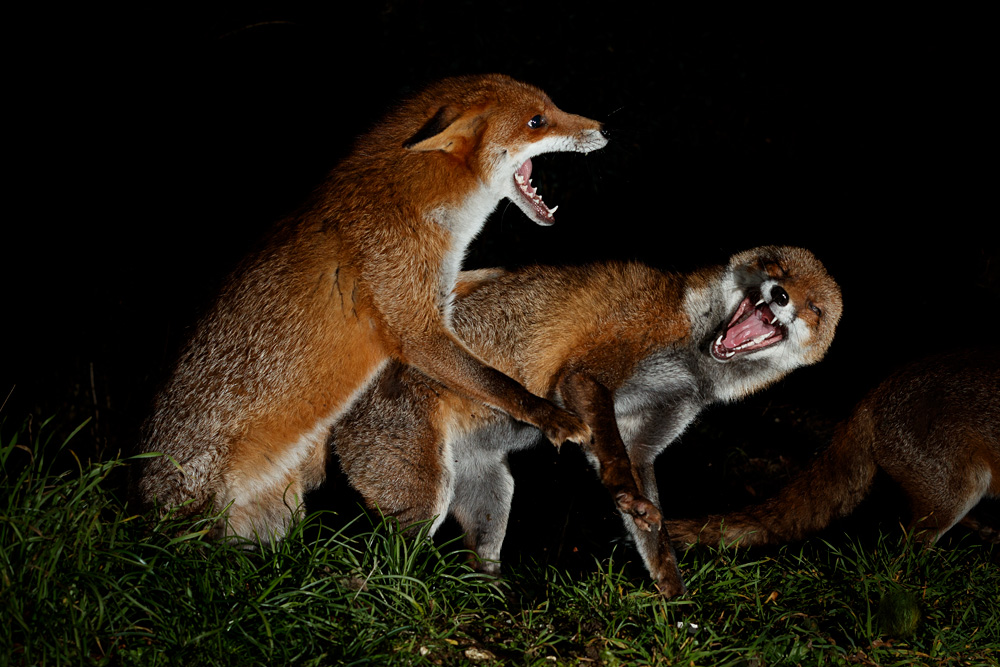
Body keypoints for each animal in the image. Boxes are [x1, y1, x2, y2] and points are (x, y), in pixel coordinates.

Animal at [135, 74, 614, 541]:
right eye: (537, 121)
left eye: (553, 106)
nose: (606, 129)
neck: (418, 208)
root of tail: (140, 506)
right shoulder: (416, 331)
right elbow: (499, 383)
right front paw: (551, 417)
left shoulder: (433, 290)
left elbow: (493, 274)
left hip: (281, 518)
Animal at [330, 245, 843, 597]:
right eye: (775, 270)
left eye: (813, 308)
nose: (779, 296)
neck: (692, 360)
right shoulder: (591, 370)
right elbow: (612, 455)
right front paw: (624, 494)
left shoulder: (652, 430)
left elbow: (651, 527)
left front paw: (671, 592)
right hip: (423, 500)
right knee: (395, 554)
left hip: (493, 491)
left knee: (482, 552)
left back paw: (487, 594)